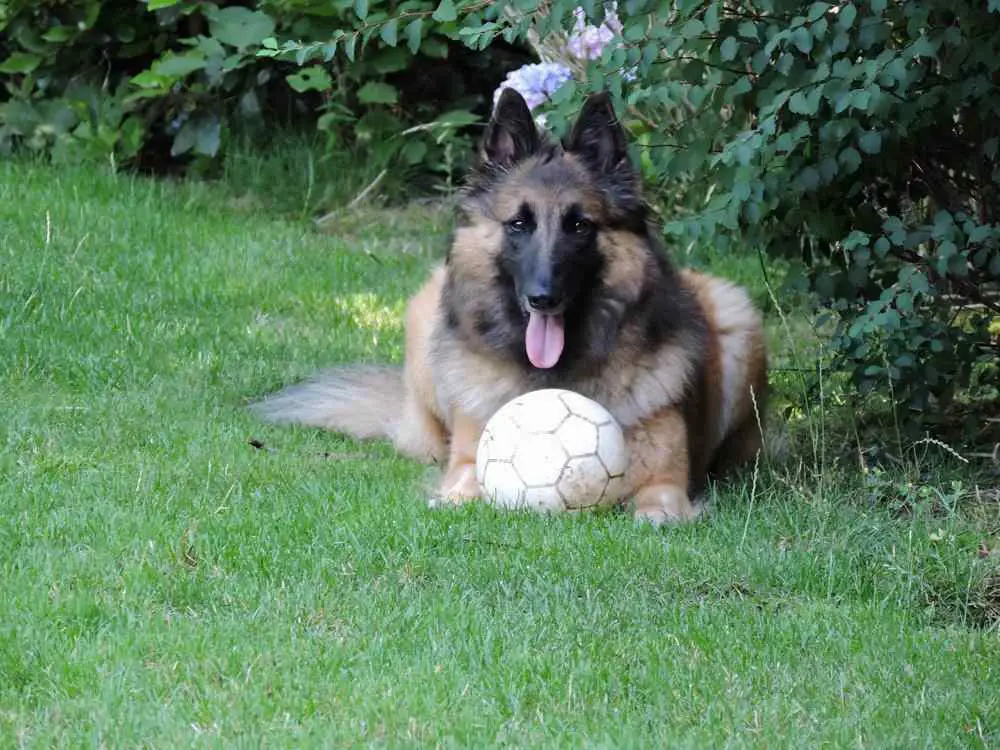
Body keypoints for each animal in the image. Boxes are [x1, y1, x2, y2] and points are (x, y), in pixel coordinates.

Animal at [252, 89, 764, 524]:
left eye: (580, 225)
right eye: (519, 224)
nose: (543, 297)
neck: (554, 375)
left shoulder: (668, 478)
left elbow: (660, 503)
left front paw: (652, 516)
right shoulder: (467, 456)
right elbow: (462, 485)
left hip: (734, 310)